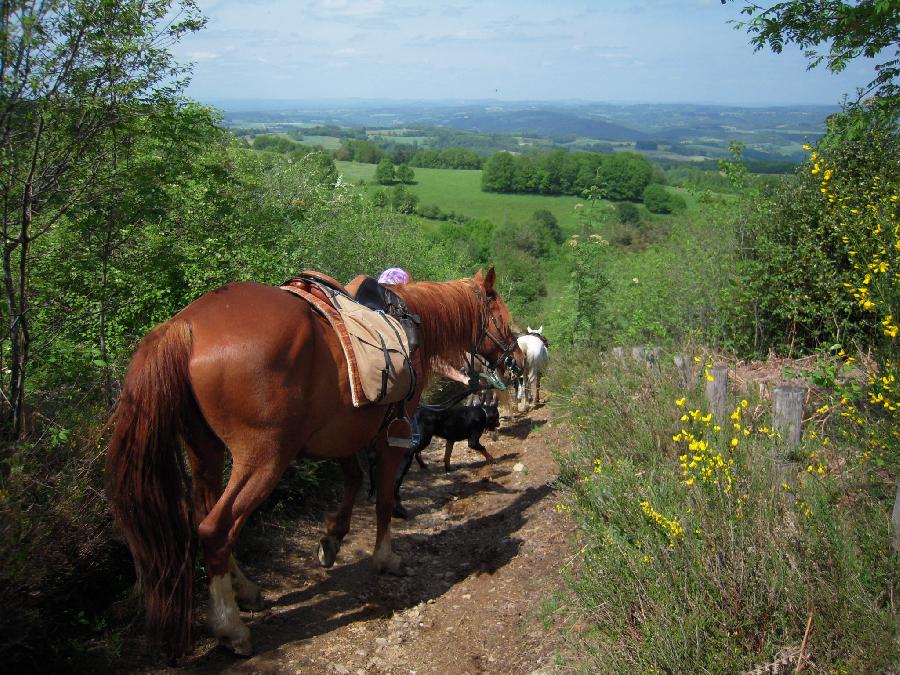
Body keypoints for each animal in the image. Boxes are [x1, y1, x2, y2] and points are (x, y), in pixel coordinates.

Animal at [104, 266, 516, 656]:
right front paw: (386, 558)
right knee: (216, 529)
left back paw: (246, 590)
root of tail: (185, 325)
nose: (514, 360)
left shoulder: (342, 434)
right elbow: (383, 498)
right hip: (264, 458)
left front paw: (332, 537)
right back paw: (230, 628)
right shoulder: (390, 437)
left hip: (204, 451)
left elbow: (354, 479)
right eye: (502, 318)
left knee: (204, 515)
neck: (411, 322)